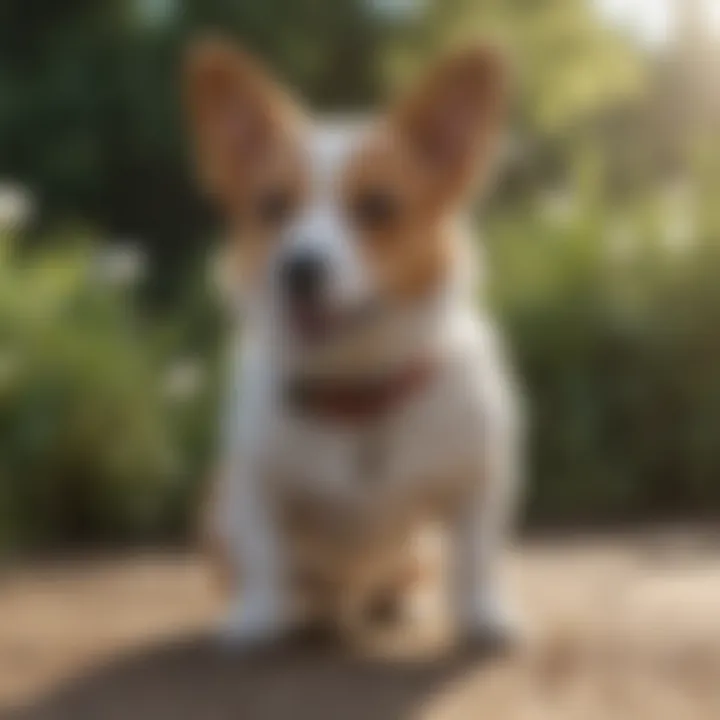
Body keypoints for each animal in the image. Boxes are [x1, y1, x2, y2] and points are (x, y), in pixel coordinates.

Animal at [186, 36, 524, 648]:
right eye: (272, 206)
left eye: (378, 207)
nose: (298, 268)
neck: (357, 386)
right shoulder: (254, 488)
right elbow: (265, 557)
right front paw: (258, 618)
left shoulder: (477, 483)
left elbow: (475, 559)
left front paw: (483, 616)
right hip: (214, 506)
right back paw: (310, 609)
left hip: (417, 550)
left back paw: (397, 604)